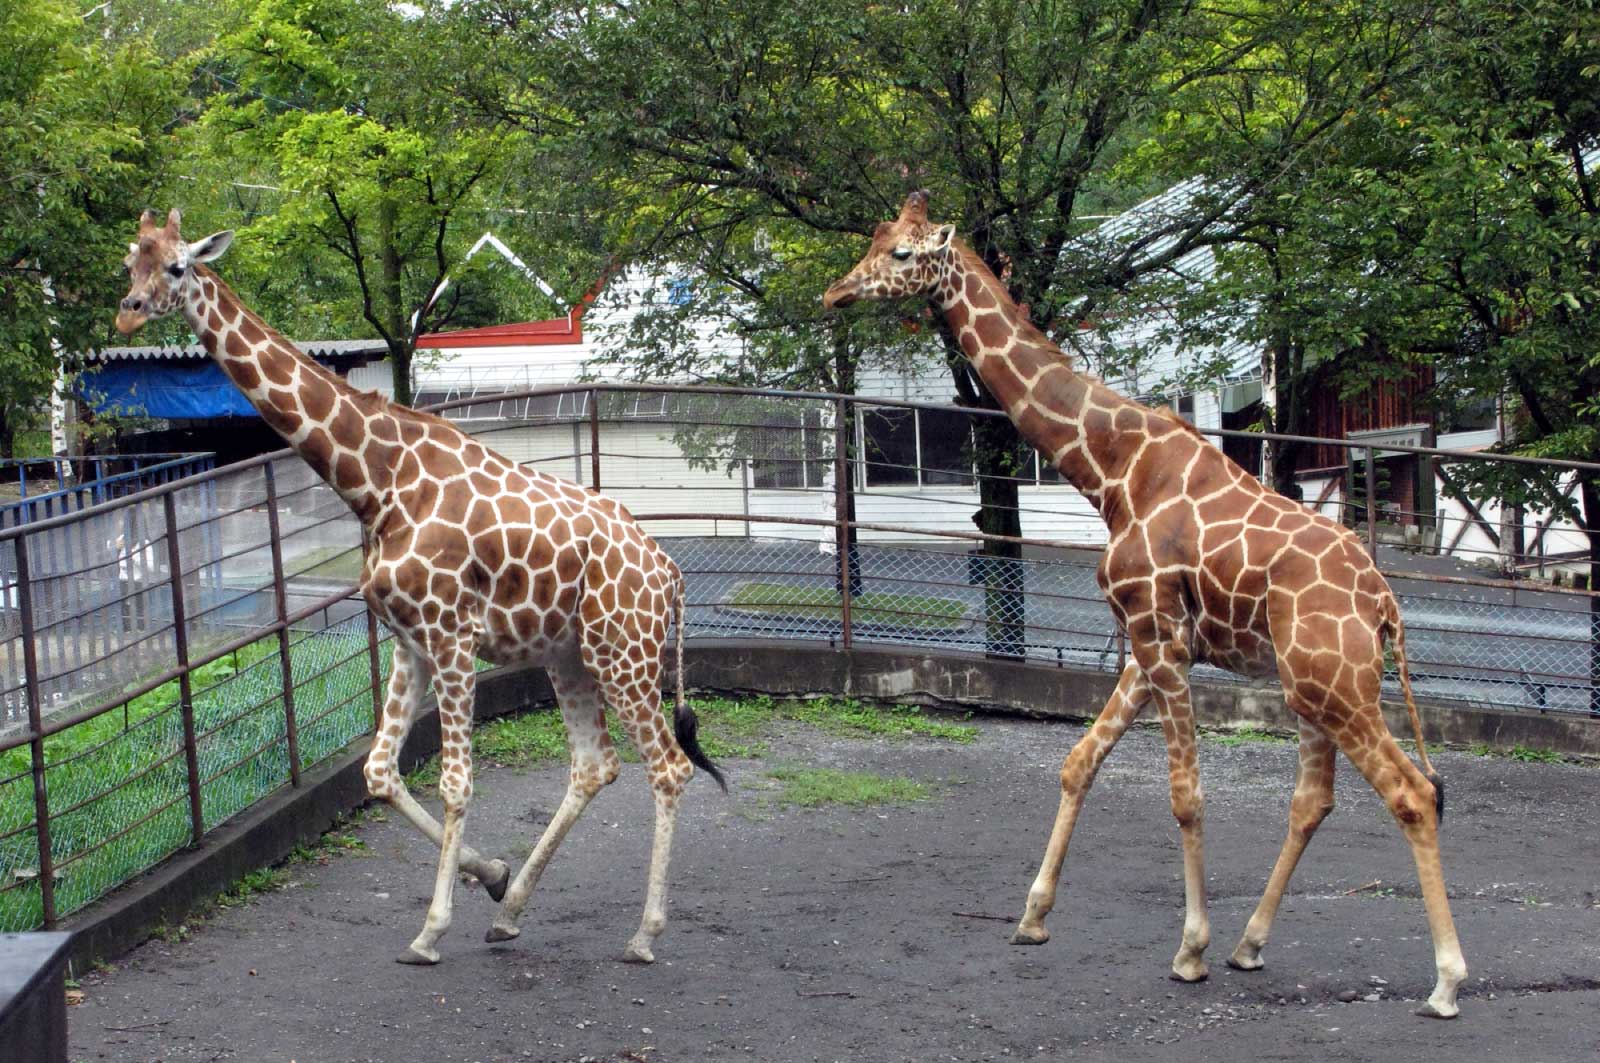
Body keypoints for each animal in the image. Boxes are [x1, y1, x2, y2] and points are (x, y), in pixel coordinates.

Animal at [116, 208, 729, 960]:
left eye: (176, 266)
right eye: (130, 264)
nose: (127, 312)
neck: (376, 482)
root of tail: (669, 571)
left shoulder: (452, 634)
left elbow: (456, 782)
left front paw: (432, 928)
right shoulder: (408, 638)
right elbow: (380, 773)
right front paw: (490, 875)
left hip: (625, 653)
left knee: (668, 767)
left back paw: (644, 933)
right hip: (571, 654)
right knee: (595, 765)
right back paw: (510, 910)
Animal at [825, 192, 1465, 1024]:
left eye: (902, 254)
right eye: (873, 240)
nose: (835, 293)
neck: (1111, 468)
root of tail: (1386, 602)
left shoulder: (1159, 632)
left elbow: (1185, 796)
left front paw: (1188, 950)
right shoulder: (1148, 638)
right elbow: (1079, 761)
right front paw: (1033, 915)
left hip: (1336, 683)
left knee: (1412, 794)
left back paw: (1446, 979)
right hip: (1311, 685)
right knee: (1313, 798)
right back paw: (1251, 942)